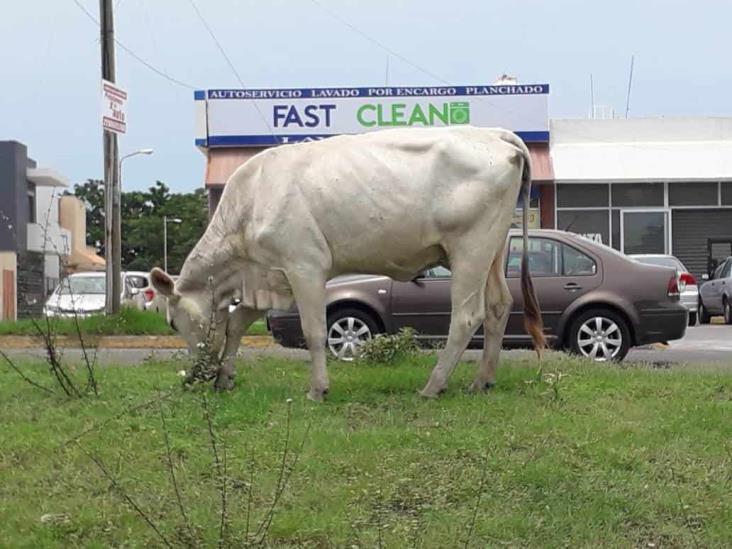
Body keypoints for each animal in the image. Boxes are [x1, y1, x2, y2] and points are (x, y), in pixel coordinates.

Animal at [152, 126, 548, 400]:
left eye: (171, 322)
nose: (195, 377)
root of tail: (494, 133)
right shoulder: (269, 275)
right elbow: (235, 324)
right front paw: (225, 378)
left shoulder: (305, 265)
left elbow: (314, 332)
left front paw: (317, 390)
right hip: (491, 250)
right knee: (498, 306)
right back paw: (482, 380)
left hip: (469, 248)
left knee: (466, 316)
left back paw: (433, 386)